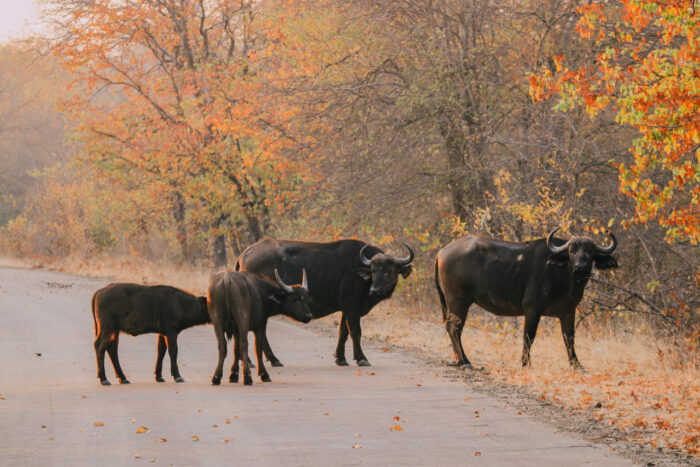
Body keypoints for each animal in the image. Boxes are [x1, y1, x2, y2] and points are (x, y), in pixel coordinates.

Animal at [239, 239, 416, 368]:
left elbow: (343, 332)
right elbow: (355, 332)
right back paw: (265, 360)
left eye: (389, 271)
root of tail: (245, 254)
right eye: (373, 270)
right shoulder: (352, 308)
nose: (375, 290)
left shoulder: (346, 309)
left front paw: (341, 358)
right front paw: (361, 358)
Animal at [432, 229, 616, 372]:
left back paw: (462, 360)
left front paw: (577, 365)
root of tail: (442, 251)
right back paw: (465, 362)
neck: (562, 276)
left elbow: (569, 337)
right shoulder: (532, 310)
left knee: (455, 329)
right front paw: (526, 363)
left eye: (590, 252)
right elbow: (529, 336)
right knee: (453, 328)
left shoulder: (568, 311)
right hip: (457, 301)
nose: (580, 267)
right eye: (571, 250)